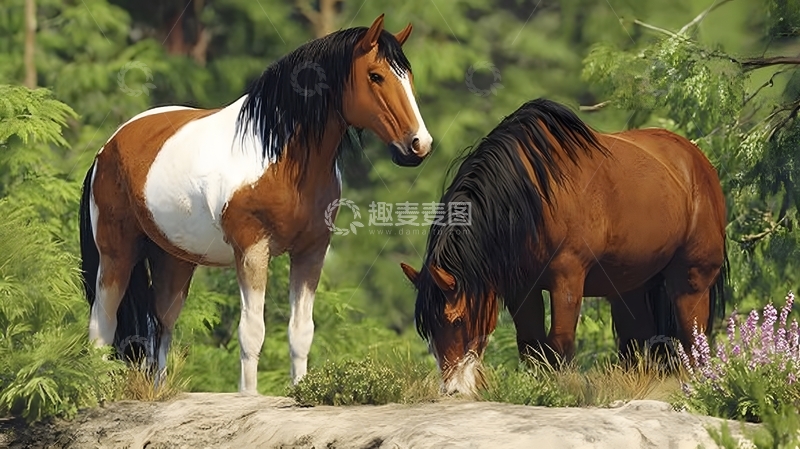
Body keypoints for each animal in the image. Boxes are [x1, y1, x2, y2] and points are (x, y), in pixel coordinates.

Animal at [79, 14, 433, 395]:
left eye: (409, 77)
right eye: (376, 75)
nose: (419, 144)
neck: (278, 156)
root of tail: (108, 147)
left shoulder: (311, 252)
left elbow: (301, 332)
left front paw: (299, 390)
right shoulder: (252, 249)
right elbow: (252, 332)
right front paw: (248, 395)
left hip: (174, 259)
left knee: (163, 323)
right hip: (117, 254)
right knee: (102, 325)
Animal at [400, 98, 728, 395]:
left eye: (456, 320)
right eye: (428, 328)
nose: (453, 390)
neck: (534, 198)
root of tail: (698, 161)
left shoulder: (567, 280)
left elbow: (559, 342)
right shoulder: (522, 290)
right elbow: (531, 345)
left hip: (690, 283)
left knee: (693, 340)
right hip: (629, 289)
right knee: (639, 342)